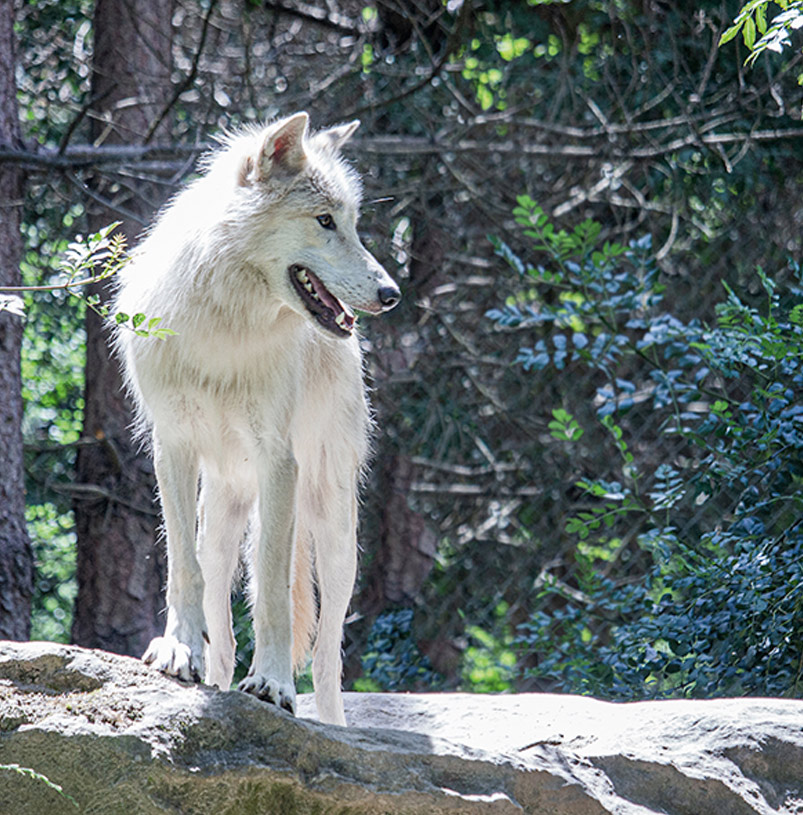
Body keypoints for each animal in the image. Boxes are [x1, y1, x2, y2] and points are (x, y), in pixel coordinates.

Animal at [113, 113, 402, 728]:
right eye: (324, 221)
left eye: (353, 223)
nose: (391, 293)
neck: (226, 323)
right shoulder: (173, 447)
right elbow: (182, 568)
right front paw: (178, 650)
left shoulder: (278, 461)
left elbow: (272, 590)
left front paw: (271, 685)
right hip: (222, 520)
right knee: (221, 632)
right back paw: (216, 675)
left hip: (333, 529)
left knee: (328, 658)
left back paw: (330, 723)